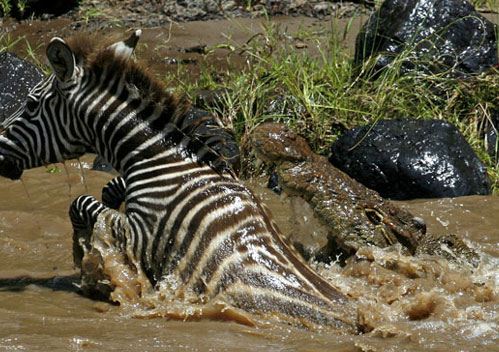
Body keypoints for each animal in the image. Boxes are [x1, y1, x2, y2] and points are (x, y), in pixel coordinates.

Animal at [0, 30, 360, 330]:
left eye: (30, 104)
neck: (155, 158)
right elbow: (107, 191)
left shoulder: (140, 235)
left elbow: (81, 203)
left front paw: (85, 259)